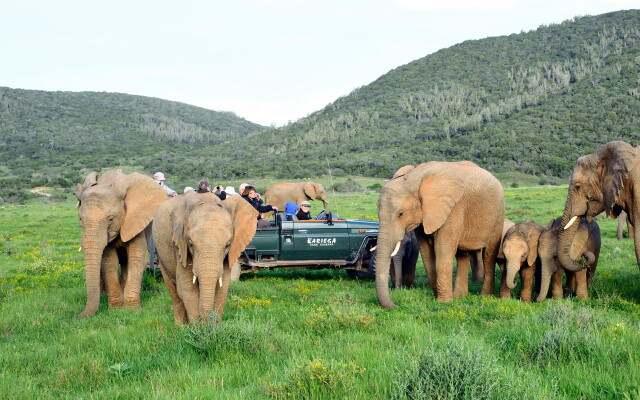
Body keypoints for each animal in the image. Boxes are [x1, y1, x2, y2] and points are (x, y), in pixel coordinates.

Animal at [73, 170, 168, 318]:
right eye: (80, 220)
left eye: (111, 219)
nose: (76, 316)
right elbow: (109, 261)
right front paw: (116, 309)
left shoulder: (135, 220)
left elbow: (136, 259)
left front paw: (131, 310)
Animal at [152, 191, 258, 324]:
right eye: (191, 244)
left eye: (227, 245)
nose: (207, 320)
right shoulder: (180, 245)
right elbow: (187, 287)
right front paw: (198, 327)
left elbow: (222, 288)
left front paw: (213, 327)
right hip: (161, 254)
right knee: (174, 291)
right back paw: (180, 326)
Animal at [376, 159, 504, 306]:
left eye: (400, 214)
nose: (396, 304)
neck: (414, 178)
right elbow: (426, 251)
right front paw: (439, 297)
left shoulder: (453, 208)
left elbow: (443, 249)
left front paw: (444, 303)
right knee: (462, 255)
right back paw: (459, 296)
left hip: (498, 214)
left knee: (489, 255)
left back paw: (484, 297)